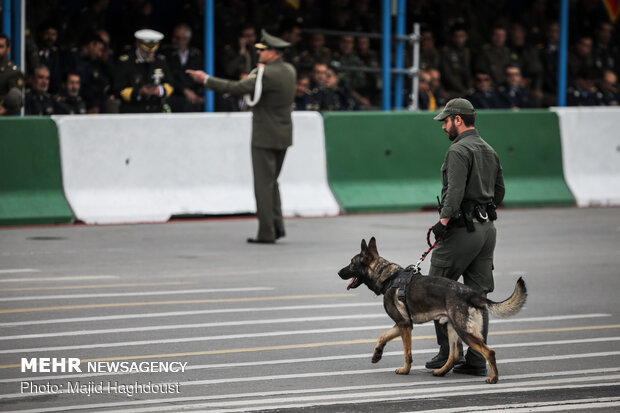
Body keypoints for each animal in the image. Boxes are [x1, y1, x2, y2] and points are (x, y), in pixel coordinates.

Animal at [340, 237, 528, 384]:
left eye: (351, 263)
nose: (338, 272)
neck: (389, 277)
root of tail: (471, 293)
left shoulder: (404, 325)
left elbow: (407, 352)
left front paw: (405, 370)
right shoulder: (402, 324)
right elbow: (383, 336)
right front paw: (377, 354)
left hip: (464, 331)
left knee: (489, 352)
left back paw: (494, 378)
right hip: (452, 329)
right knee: (453, 356)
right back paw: (441, 372)